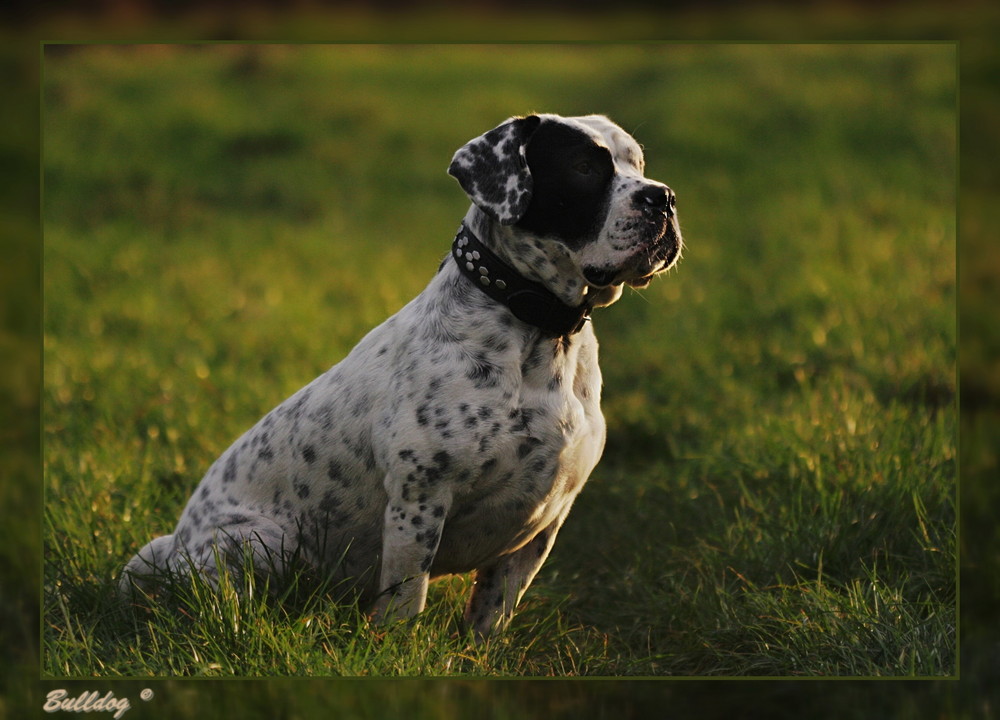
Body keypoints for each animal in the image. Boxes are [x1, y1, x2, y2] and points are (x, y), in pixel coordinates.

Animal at [115, 115, 680, 640]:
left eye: (639, 164)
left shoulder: (540, 525)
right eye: (584, 168)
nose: (663, 197)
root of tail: (172, 546)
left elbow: (491, 616)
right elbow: (406, 603)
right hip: (266, 539)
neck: (538, 329)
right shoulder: (420, 500)